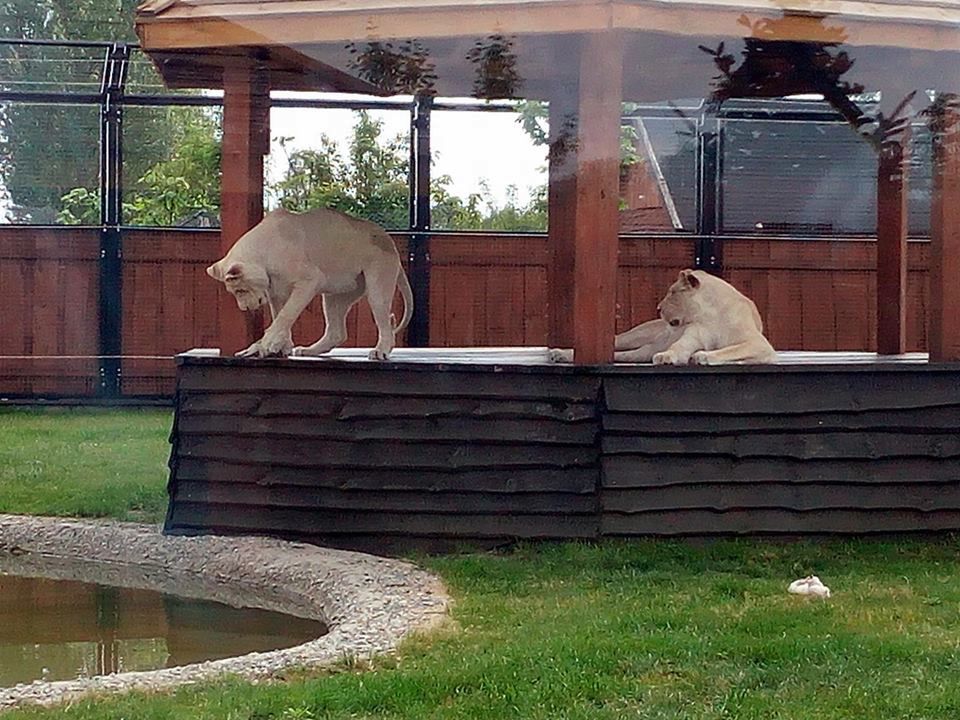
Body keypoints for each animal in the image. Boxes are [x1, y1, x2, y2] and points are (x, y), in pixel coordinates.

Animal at [206, 207, 412, 360]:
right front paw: (281, 347)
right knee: (337, 332)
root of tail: (390, 241)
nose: (244, 308)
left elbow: (286, 314)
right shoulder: (275, 293)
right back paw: (308, 350)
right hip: (335, 295)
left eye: (240, 290)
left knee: (384, 318)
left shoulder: (310, 280)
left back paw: (381, 351)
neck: (263, 253)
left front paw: (265, 345)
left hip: (377, 284)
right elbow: (278, 315)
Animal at [552, 268, 776, 362]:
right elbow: (678, 347)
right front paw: (667, 357)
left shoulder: (760, 344)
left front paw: (703, 356)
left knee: (628, 356)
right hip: (635, 336)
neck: (710, 314)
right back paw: (560, 353)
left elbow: (731, 349)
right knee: (618, 345)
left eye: (672, 293)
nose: (658, 308)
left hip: (643, 350)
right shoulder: (692, 335)